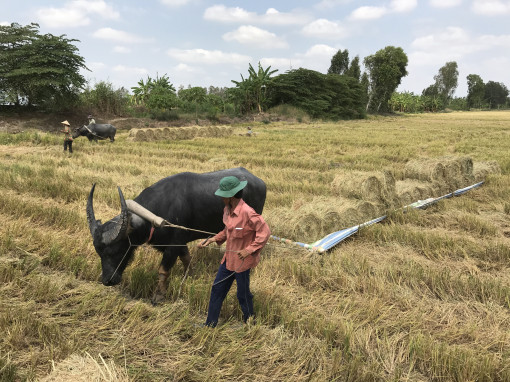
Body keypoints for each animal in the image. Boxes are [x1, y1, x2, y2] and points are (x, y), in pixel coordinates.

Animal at [86, 167, 266, 304]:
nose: (107, 280)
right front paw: (190, 275)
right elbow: (186, 259)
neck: (154, 216)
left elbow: (163, 270)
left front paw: (158, 296)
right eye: (99, 252)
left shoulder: (173, 245)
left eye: (115, 250)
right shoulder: (180, 243)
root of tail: (260, 182)